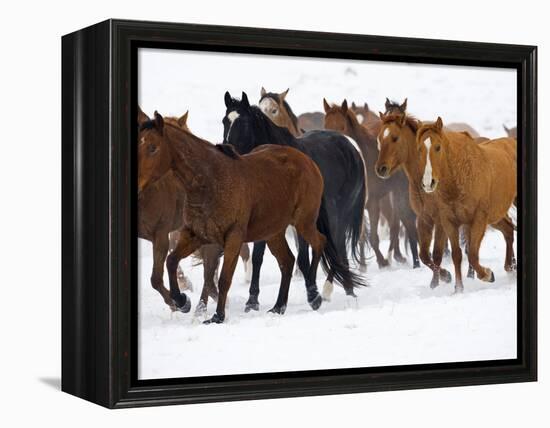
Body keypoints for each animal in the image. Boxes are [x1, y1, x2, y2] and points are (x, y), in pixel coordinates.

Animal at [140, 112, 332, 322]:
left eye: (153, 148)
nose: (138, 183)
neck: (210, 181)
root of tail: (308, 161)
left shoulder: (233, 237)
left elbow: (224, 278)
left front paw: (217, 316)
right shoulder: (194, 235)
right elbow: (171, 261)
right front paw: (182, 301)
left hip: (303, 222)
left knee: (319, 242)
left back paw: (314, 295)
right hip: (273, 232)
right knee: (287, 262)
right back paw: (278, 306)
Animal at [222, 91, 368, 310]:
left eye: (244, 123)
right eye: (225, 121)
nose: (227, 149)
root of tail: (351, 148)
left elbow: (303, 258)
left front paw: (312, 294)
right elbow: (258, 258)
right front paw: (252, 301)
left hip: (338, 216)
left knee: (337, 246)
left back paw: (330, 290)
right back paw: (347, 289)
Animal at [324, 98, 422, 270]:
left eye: (342, 127)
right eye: (325, 126)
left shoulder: (373, 202)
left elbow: (374, 235)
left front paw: (382, 261)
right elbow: (363, 234)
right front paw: (364, 264)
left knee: (397, 222)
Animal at [420, 117, 520, 290]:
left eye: (438, 147)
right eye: (420, 149)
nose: (428, 183)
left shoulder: (478, 219)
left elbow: (473, 254)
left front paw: (487, 274)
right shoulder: (449, 221)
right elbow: (457, 254)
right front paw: (458, 289)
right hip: (495, 215)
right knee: (508, 230)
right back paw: (510, 267)